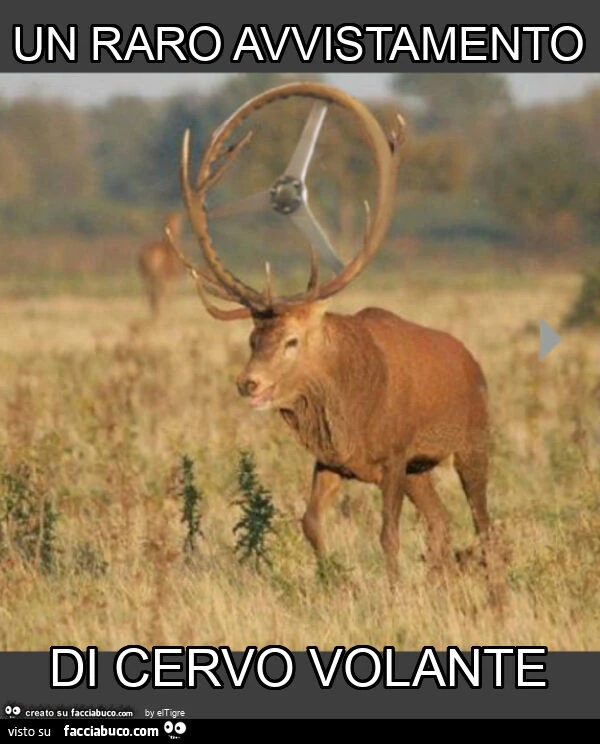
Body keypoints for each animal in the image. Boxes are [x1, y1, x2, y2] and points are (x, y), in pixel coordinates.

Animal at [167, 82, 500, 591]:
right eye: (252, 339)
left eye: (292, 340)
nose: (248, 383)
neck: (351, 405)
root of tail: (473, 362)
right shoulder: (333, 460)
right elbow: (309, 522)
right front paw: (334, 580)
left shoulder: (395, 454)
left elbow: (387, 533)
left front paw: (391, 590)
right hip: (422, 468)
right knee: (443, 522)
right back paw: (439, 579)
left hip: (473, 442)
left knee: (484, 523)